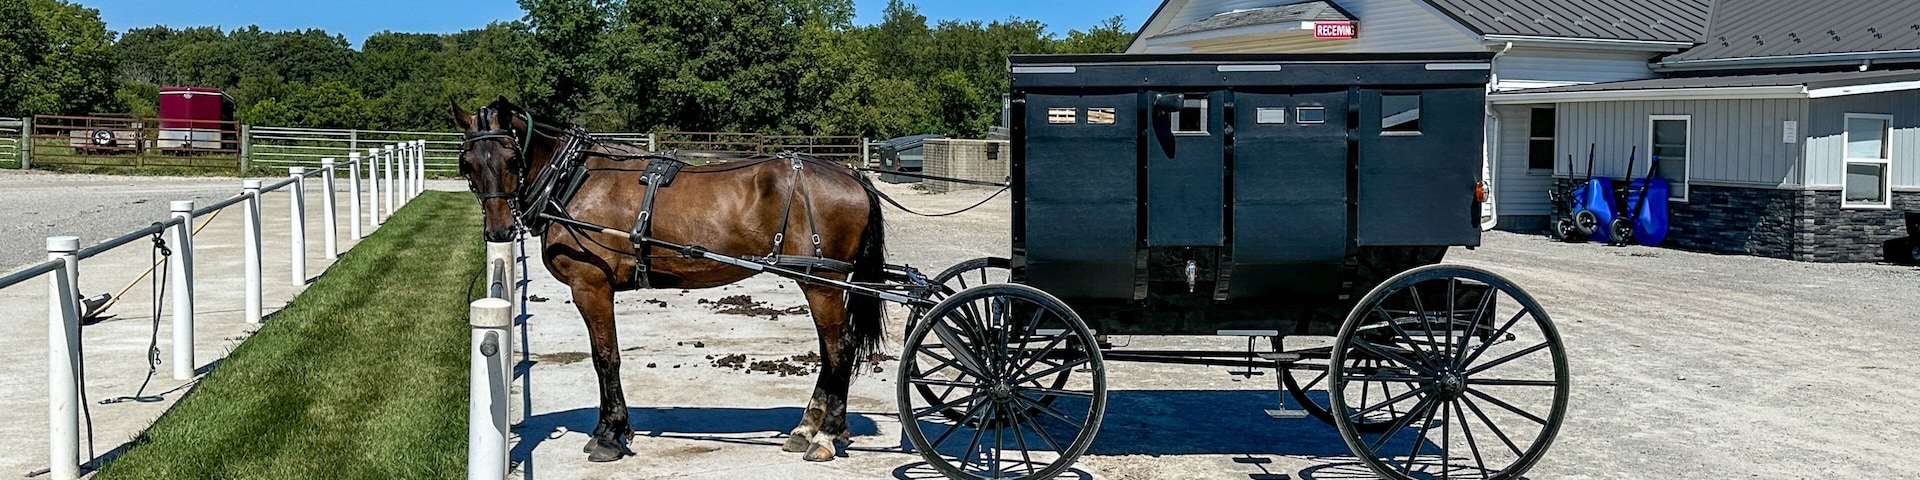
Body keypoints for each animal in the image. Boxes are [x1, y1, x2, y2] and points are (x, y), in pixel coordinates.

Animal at [450, 98, 888, 463]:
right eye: (467, 163)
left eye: (512, 158)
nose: (500, 231)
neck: (575, 179)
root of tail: (851, 174)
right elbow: (603, 356)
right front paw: (613, 428)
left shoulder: (591, 286)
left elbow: (605, 357)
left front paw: (609, 434)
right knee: (831, 350)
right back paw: (807, 428)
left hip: (823, 283)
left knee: (839, 348)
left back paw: (825, 435)